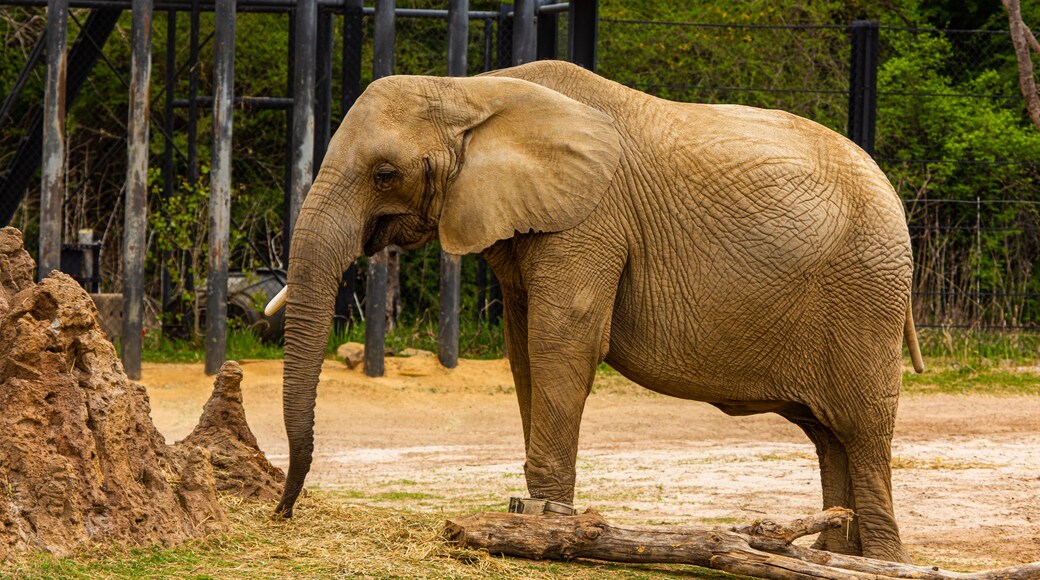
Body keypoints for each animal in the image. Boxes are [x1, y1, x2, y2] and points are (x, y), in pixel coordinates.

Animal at [266, 59, 927, 565]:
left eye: (385, 173)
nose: (282, 511)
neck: (474, 89)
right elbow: (523, 351)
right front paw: (529, 512)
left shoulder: (589, 221)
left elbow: (561, 344)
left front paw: (543, 517)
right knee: (827, 433)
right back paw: (835, 555)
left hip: (866, 292)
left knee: (863, 429)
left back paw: (879, 562)